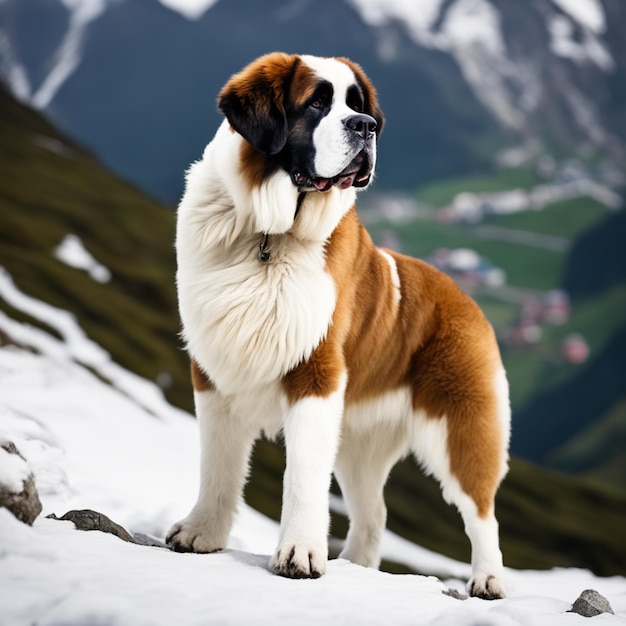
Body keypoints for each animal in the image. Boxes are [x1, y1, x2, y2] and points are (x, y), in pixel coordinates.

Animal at [166, 51, 508, 596]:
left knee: (481, 511)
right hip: (358, 444)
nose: (364, 125)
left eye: (357, 103)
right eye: (317, 103)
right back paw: (357, 567)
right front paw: (202, 533)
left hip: (461, 430)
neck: (269, 234)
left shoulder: (316, 373)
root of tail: (465, 297)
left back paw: (489, 579)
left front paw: (300, 554)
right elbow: (217, 464)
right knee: (374, 513)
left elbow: (303, 474)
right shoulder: (214, 370)